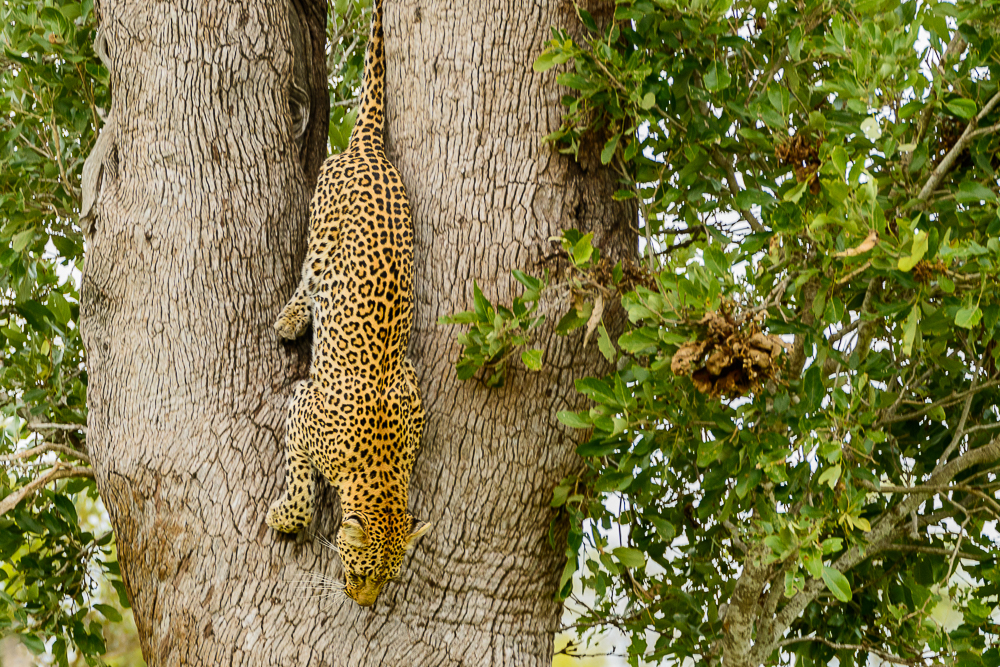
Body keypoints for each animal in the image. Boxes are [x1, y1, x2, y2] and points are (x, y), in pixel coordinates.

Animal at [264, 0, 428, 608]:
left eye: (388, 576)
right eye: (361, 570)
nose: (363, 602)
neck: (377, 468)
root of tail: (370, 147)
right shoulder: (302, 406)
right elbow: (299, 481)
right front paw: (285, 518)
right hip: (321, 225)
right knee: (309, 275)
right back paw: (290, 320)